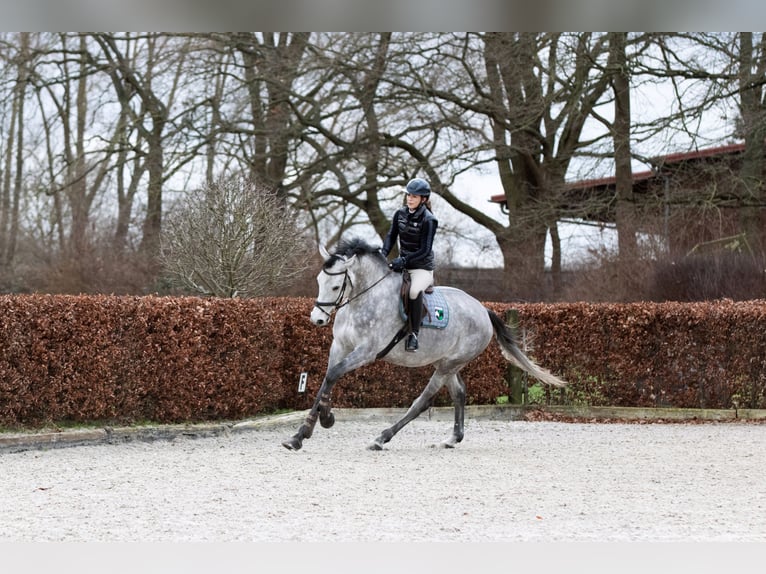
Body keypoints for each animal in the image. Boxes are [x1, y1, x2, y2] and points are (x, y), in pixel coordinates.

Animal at [284, 238, 568, 454]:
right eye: (318, 281)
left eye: (335, 286)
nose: (317, 319)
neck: (362, 299)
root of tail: (483, 310)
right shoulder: (339, 346)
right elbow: (326, 380)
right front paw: (301, 434)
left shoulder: (366, 352)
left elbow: (333, 374)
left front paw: (324, 421)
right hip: (446, 362)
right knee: (459, 393)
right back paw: (452, 438)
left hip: (448, 364)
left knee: (423, 401)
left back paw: (382, 437)